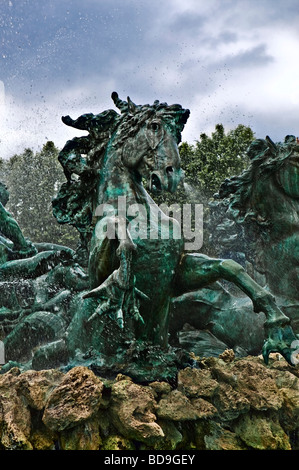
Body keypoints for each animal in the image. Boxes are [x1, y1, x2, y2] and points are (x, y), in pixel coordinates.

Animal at [54, 92, 299, 368]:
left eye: (178, 134)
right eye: (154, 126)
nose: (172, 175)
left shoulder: (177, 273)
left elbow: (229, 266)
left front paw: (281, 332)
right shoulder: (96, 273)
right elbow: (113, 244)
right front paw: (124, 280)